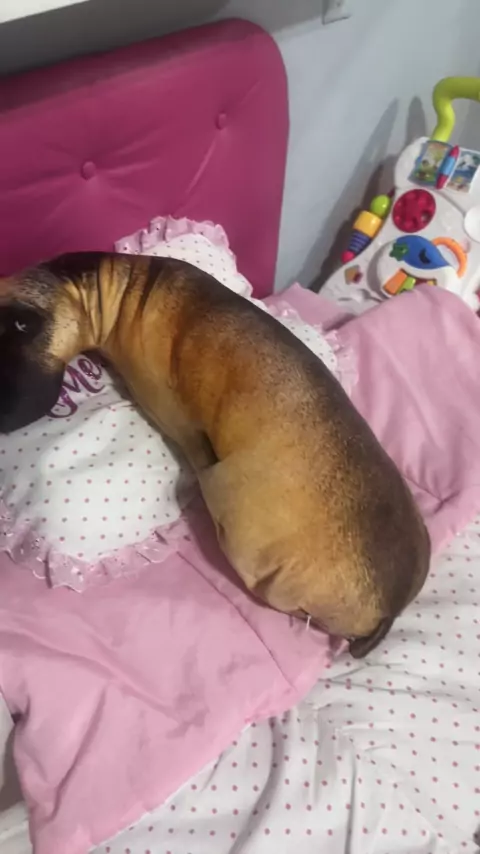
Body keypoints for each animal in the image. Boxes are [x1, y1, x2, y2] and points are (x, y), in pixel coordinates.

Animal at [0, 252, 430, 656]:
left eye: (23, 327)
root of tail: (390, 608)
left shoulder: (164, 402)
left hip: (240, 526)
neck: (122, 286)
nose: (5, 414)